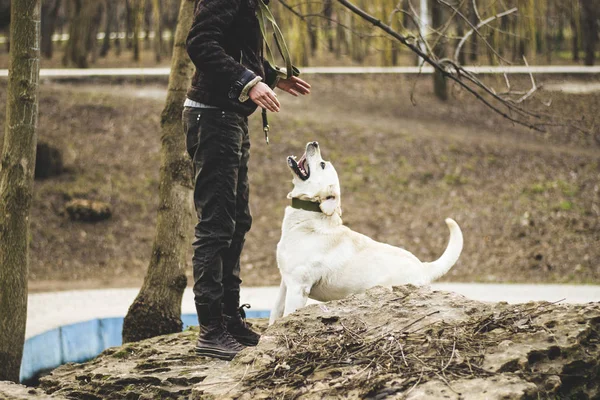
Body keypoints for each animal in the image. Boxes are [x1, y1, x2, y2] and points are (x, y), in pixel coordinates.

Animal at [268, 141, 464, 324]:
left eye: (322, 164)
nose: (314, 143)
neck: (310, 218)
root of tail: (423, 267)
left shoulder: (298, 287)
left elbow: (287, 315)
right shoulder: (285, 283)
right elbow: (275, 312)